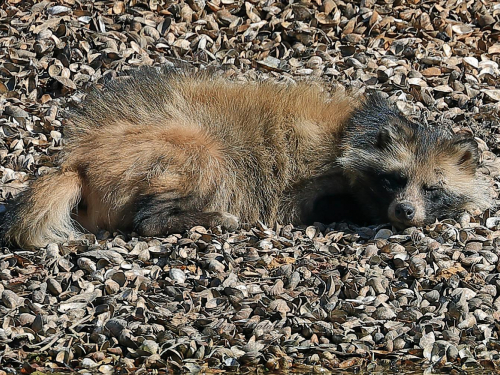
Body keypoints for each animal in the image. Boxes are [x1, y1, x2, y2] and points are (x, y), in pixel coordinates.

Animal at [1, 67, 494, 250]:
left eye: (433, 187)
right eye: (395, 178)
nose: (405, 211)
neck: (363, 125)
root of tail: (79, 162)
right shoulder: (315, 178)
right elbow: (325, 202)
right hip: (172, 149)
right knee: (169, 193)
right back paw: (200, 217)